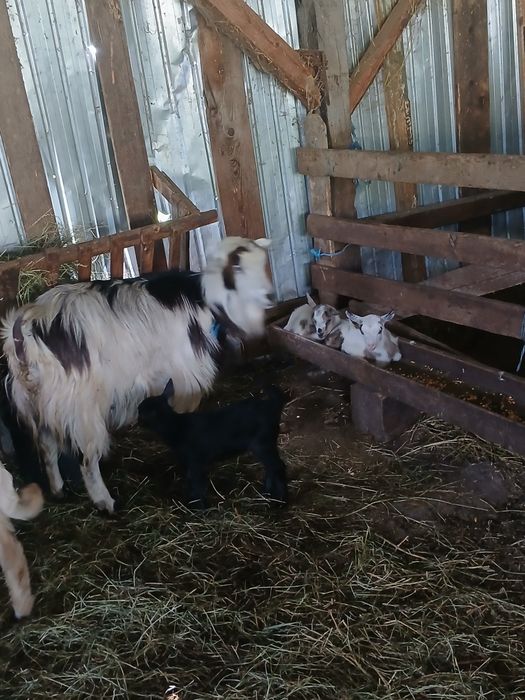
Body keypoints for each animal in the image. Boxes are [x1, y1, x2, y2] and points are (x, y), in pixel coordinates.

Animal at [1, 236, 273, 514]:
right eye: (238, 268)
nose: (269, 296)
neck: (202, 300)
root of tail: (22, 331)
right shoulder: (184, 376)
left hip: (38, 403)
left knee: (46, 447)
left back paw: (58, 491)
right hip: (80, 407)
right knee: (86, 458)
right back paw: (105, 502)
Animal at [138, 380, 288, 509]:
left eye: (141, 412)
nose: (138, 422)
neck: (176, 427)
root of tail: (272, 406)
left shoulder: (196, 459)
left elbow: (196, 481)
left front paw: (200, 507)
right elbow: (192, 479)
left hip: (262, 443)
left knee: (278, 466)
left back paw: (280, 500)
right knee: (270, 468)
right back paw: (265, 494)